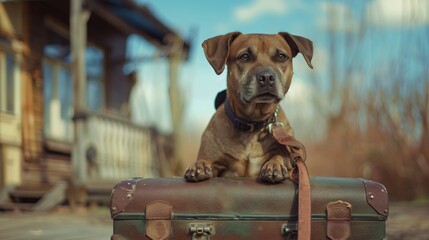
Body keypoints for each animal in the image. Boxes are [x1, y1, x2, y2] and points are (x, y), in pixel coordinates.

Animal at [183, 31, 310, 182]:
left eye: (281, 56)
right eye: (244, 56)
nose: (267, 77)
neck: (252, 122)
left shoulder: (291, 164)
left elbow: (279, 156)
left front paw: (275, 164)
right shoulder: (218, 164)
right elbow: (208, 161)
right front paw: (200, 165)